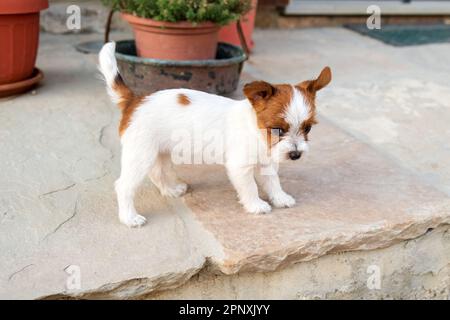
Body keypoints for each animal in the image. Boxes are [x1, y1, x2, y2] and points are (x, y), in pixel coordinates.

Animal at [98, 42, 330, 228]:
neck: (255, 130)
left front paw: (280, 198)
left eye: (307, 128)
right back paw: (129, 218)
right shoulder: (240, 168)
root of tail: (135, 100)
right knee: (124, 186)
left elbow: (273, 182)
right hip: (141, 155)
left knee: (158, 173)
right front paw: (256, 205)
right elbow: (251, 187)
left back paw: (171, 190)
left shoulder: (267, 163)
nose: (296, 155)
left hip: (159, 152)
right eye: (278, 129)